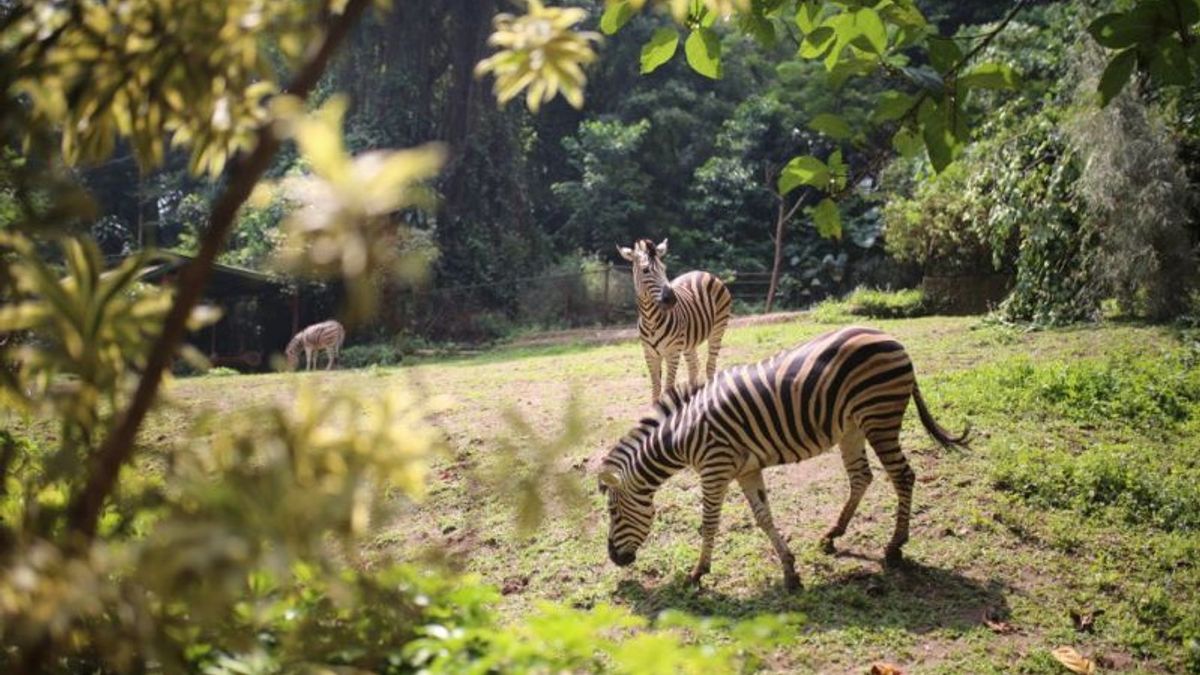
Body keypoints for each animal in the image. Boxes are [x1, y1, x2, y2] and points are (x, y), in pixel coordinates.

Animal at [595, 326, 969, 588]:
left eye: (613, 512)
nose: (613, 559)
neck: (683, 434)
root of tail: (891, 337)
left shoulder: (715, 468)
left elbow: (709, 522)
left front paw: (698, 572)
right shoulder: (745, 470)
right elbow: (763, 518)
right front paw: (790, 571)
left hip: (880, 418)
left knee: (903, 476)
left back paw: (894, 547)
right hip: (853, 427)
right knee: (862, 477)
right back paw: (833, 535)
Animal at [619, 237, 729, 401]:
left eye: (664, 268)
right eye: (645, 270)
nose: (671, 299)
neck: (650, 320)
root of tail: (703, 272)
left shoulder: (673, 353)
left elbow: (668, 387)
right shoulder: (650, 354)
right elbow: (656, 387)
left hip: (717, 330)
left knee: (710, 365)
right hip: (690, 341)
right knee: (694, 366)